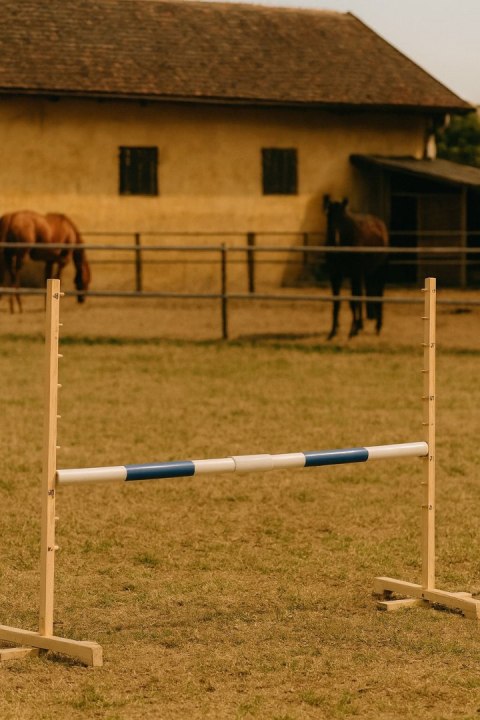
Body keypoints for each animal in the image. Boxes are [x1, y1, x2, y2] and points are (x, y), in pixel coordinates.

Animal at [323, 195, 389, 339]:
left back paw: (378, 326)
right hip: (367, 273)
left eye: (343, 218)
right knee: (363, 295)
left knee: (378, 294)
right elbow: (337, 302)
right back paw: (361, 325)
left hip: (379, 271)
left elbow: (353, 301)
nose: (335, 241)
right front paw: (333, 331)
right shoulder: (335, 275)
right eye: (328, 216)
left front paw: (352, 330)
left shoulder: (354, 274)